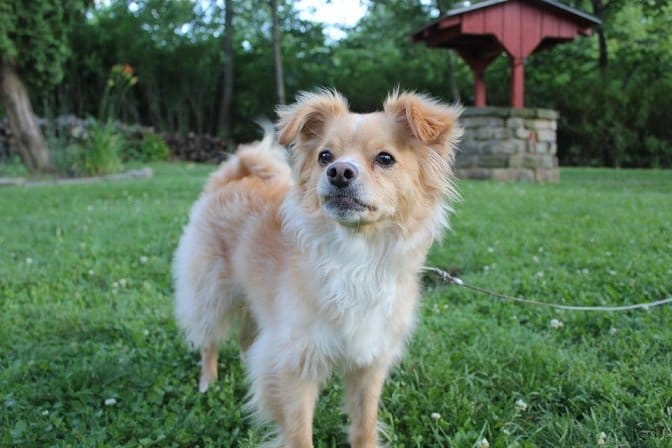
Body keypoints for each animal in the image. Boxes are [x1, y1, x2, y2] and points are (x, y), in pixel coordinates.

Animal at [173, 89, 462, 446]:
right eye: (325, 156)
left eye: (385, 159)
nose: (339, 171)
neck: (356, 257)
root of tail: (234, 177)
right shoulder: (295, 362)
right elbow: (299, 432)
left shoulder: (369, 362)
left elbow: (364, 423)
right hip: (211, 291)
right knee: (209, 340)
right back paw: (207, 382)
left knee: (246, 339)